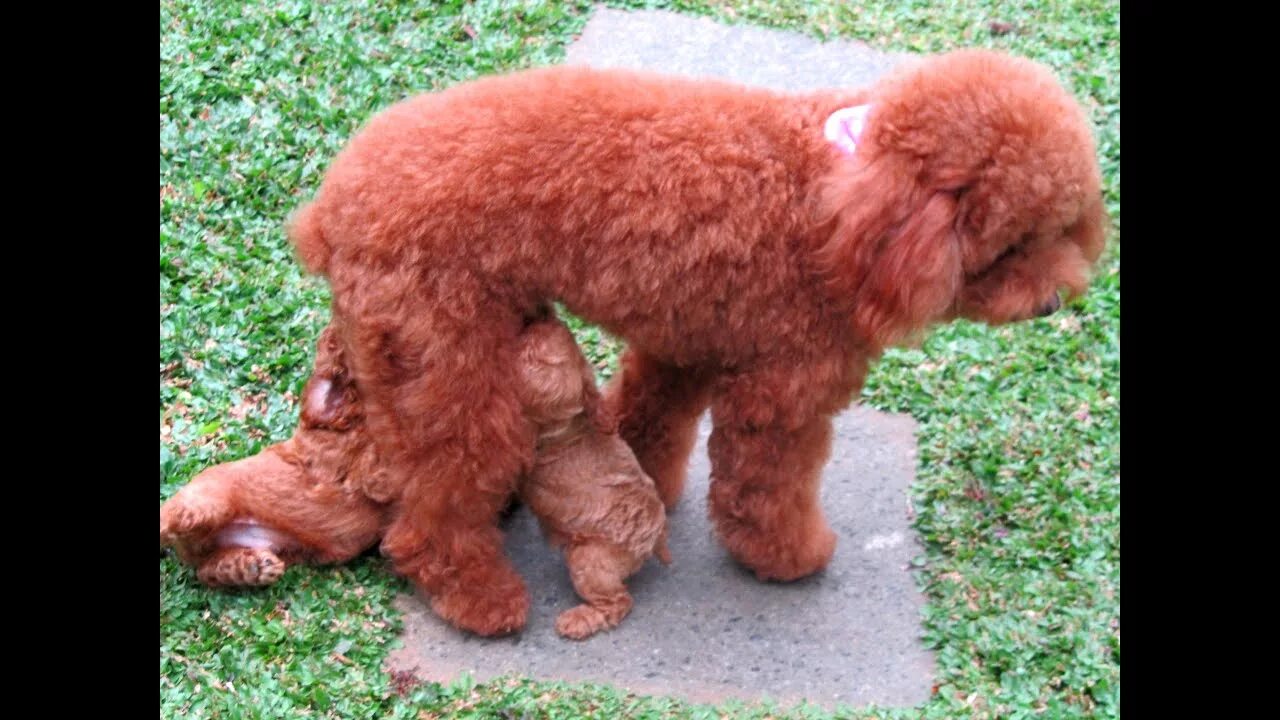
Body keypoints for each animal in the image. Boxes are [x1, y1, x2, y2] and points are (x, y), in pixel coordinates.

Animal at [509, 316, 670, 635]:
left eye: (535, 354)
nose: (542, 319)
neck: (568, 425)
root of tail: (656, 536)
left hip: (589, 560)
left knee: (619, 602)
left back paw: (577, 620)